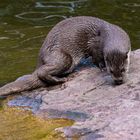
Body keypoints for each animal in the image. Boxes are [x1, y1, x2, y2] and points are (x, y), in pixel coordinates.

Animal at [0, 15, 131, 95]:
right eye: (111, 71)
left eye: (123, 69)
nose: (118, 81)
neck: (109, 32)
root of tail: (40, 58)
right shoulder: (95, 44)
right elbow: (96, 58)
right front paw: (101, 66)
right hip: (63, 57)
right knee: (41, 72)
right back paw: (61, 80)